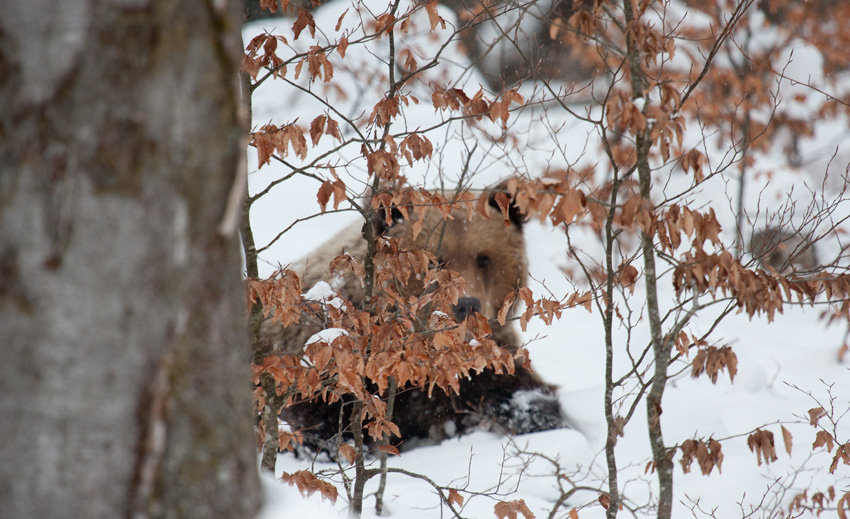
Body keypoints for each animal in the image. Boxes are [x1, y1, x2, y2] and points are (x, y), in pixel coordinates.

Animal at [262, 192, 568, 456]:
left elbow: (521, 395)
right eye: (435, 261)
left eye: (484, 258)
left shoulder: (485, 361)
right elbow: (319, 429)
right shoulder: (327, 367)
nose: (466, 305)